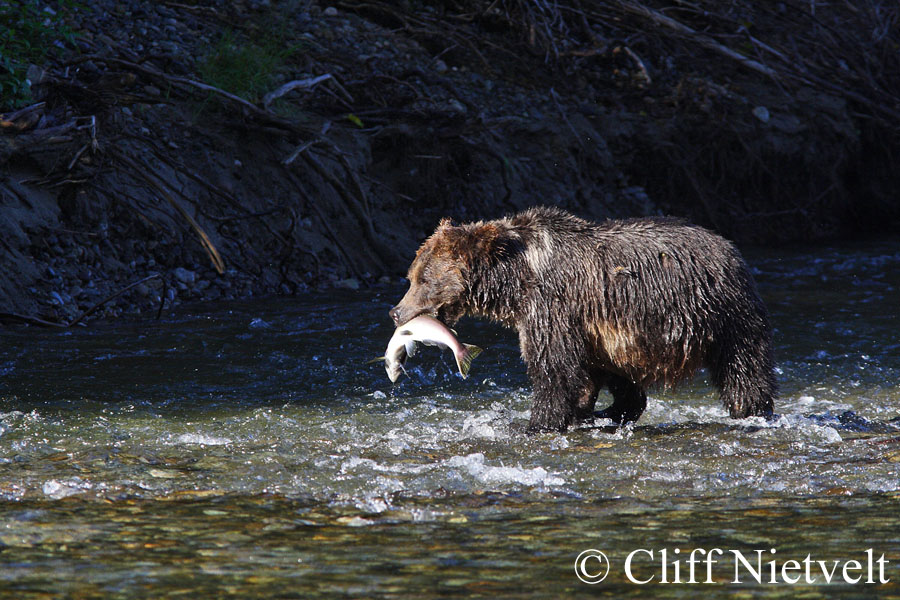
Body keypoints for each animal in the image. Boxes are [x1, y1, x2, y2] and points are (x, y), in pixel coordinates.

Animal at [390, 206, 776, 432]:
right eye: (411, 276)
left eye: (422, 279)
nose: (396, 312)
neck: (516, 281)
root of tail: (732, 250)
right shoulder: (592, 328)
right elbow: (586, 372)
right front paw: (581, 411)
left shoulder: (553, 306)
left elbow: (553, 369)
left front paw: (536, 422)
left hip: (722, 316)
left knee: (743, 369)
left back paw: (752, 410)